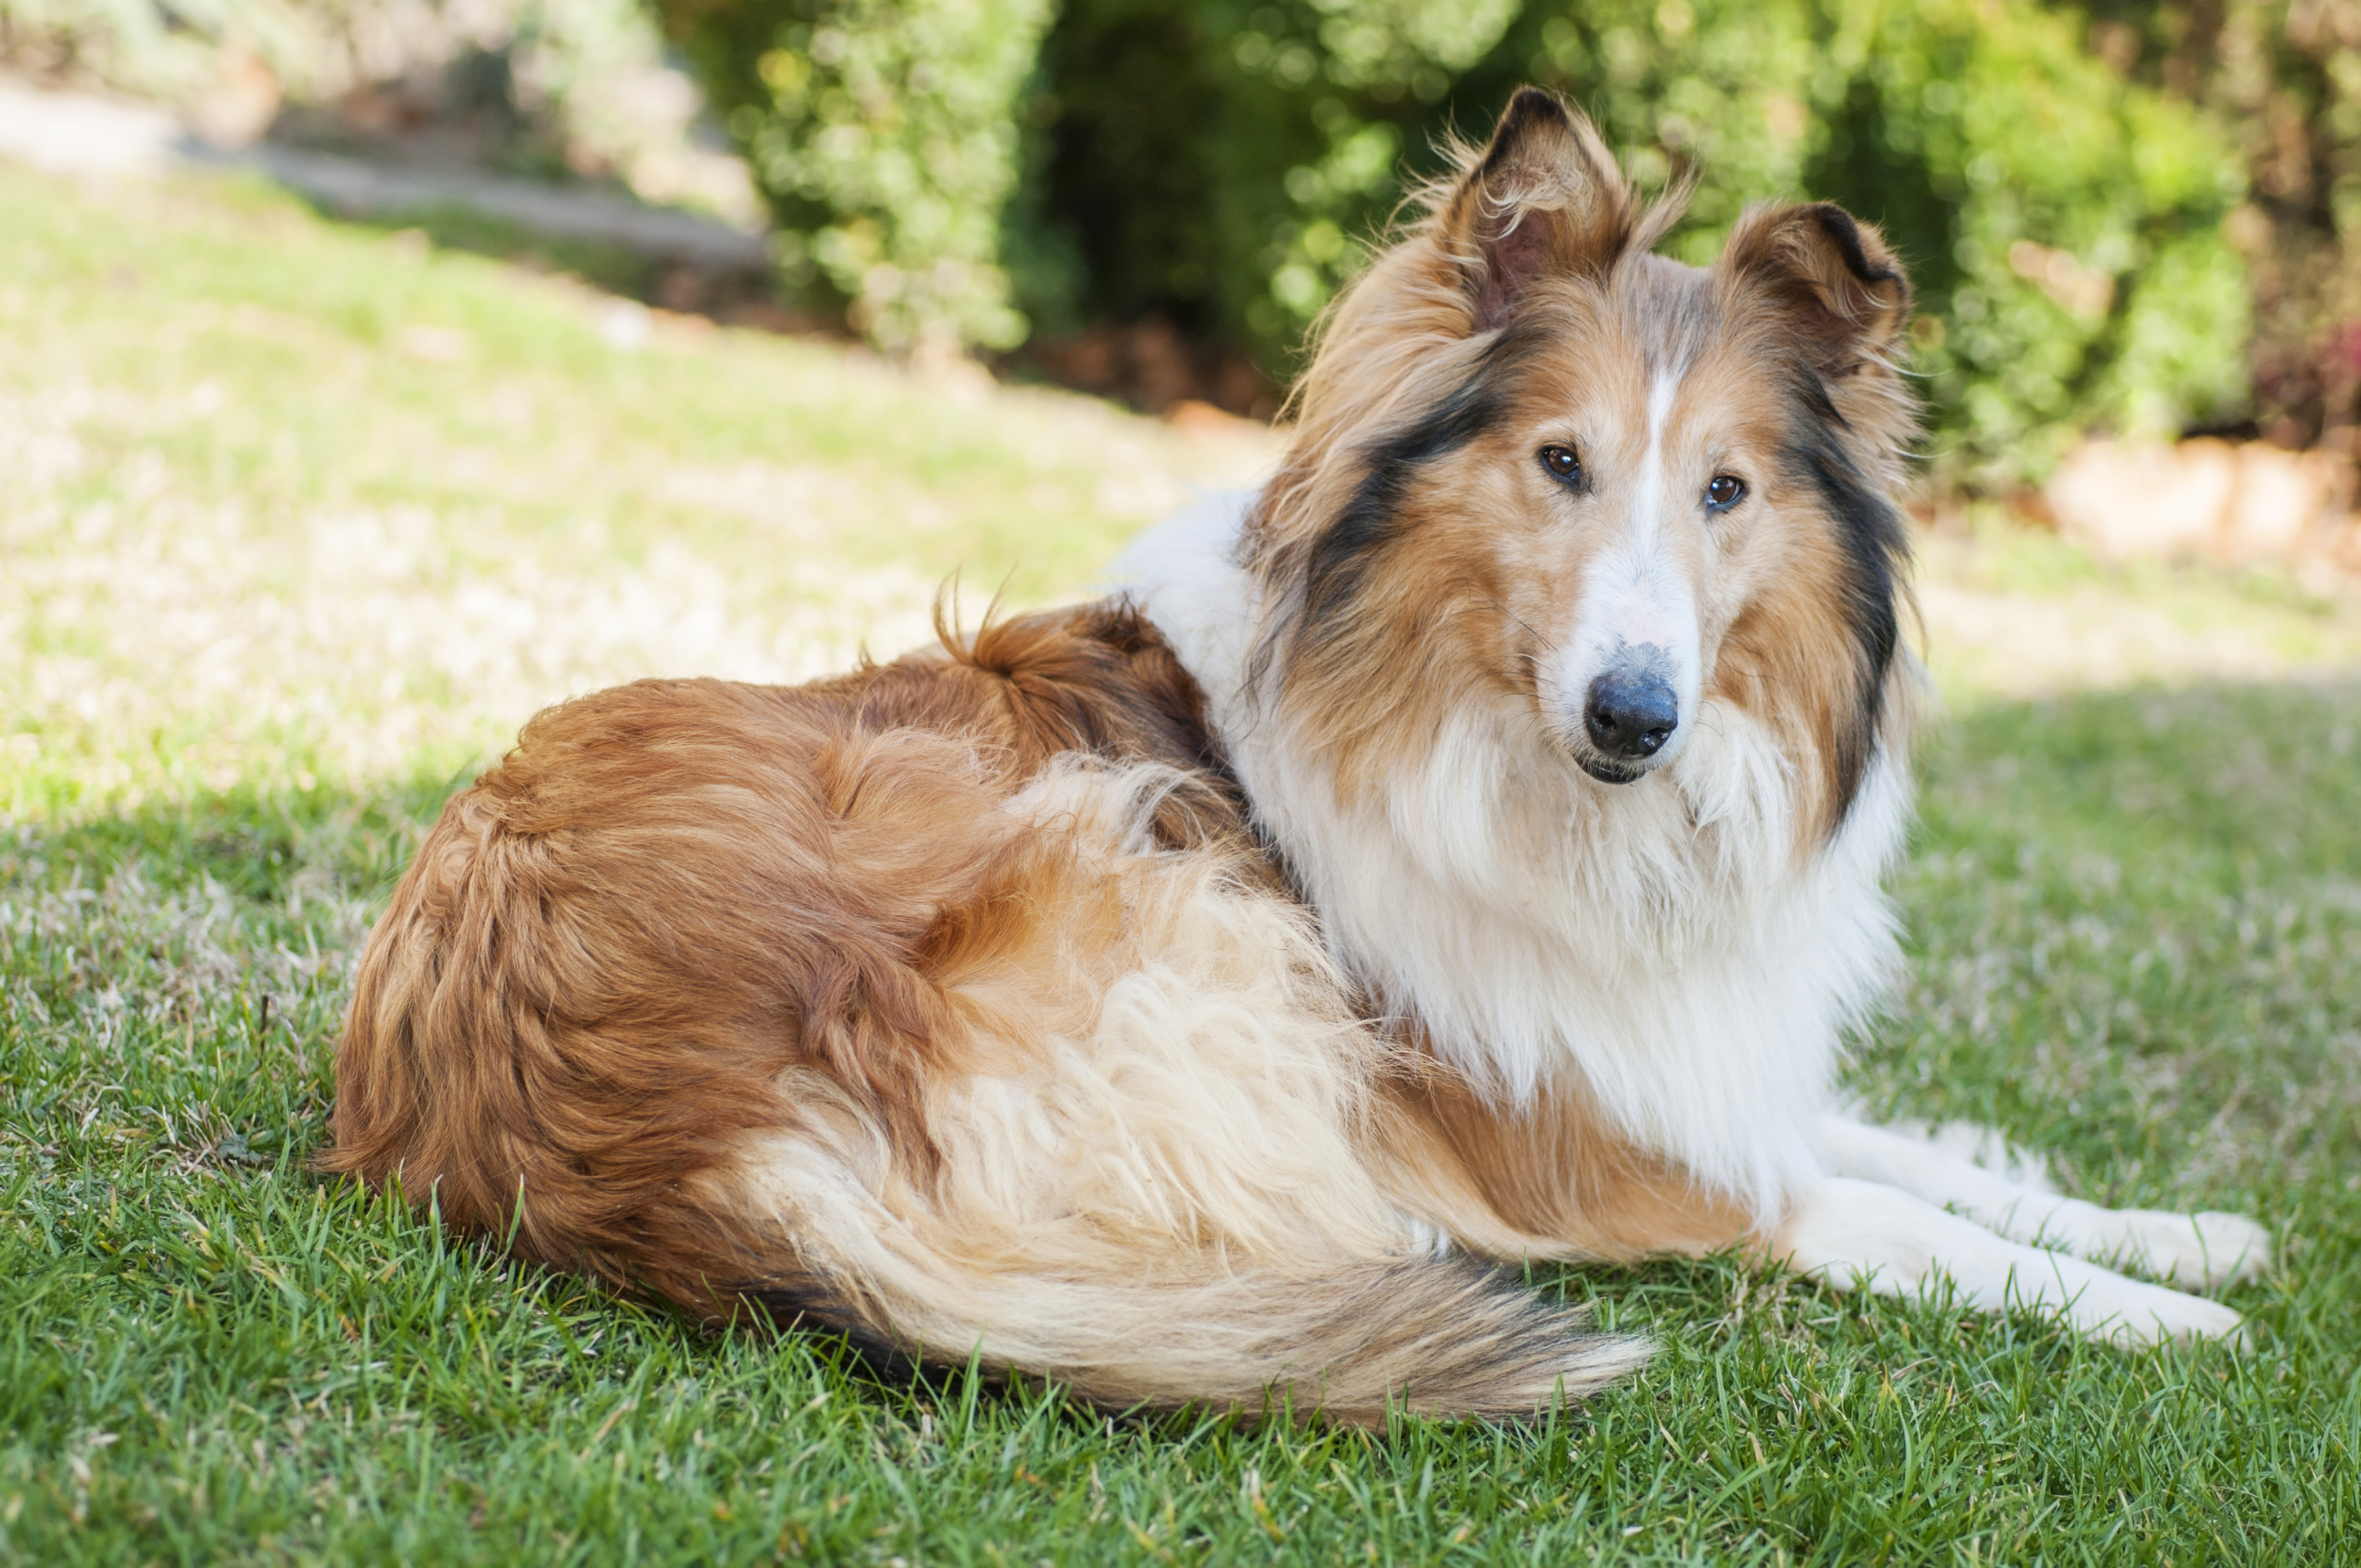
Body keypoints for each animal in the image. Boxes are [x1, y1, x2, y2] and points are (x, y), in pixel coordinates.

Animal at [328, 91, 2266, 1426]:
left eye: (1725, 489)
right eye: (1561, 462)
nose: (1633, 715)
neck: (1480, 736)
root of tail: (636, 1150)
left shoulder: (1677, 1064)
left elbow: (1919, 1152)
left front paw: (2183, 1231)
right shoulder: (1576, 1148)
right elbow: (1889, 1219)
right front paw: (2165, 1318)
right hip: (1169, 896)